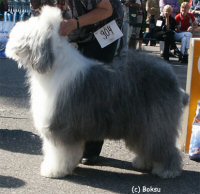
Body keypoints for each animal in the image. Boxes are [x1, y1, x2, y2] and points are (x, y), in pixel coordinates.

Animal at [5, 5, 188, 179]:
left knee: (164, 146)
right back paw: (143, 163)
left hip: (155, 122)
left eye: (30, 25)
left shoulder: (61, 126)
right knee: (147, 145)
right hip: (141, 124)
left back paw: (167, 171)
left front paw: (53, 170)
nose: (11, 32)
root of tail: (172, 78)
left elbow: (58, 152)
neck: (53, 67)